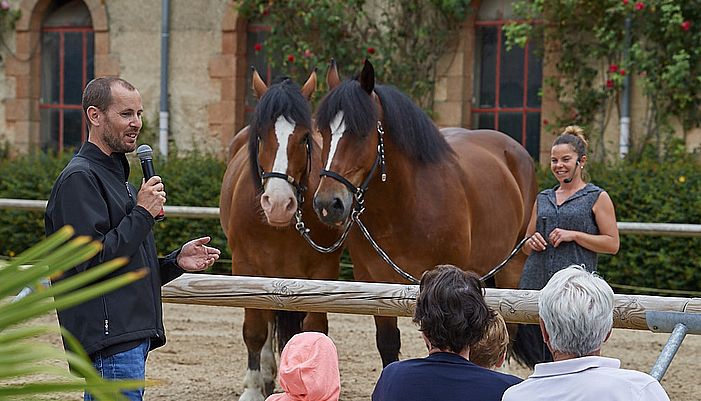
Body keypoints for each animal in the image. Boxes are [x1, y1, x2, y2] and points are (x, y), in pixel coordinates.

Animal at [217, 69, 340, 400]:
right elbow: (255, 329)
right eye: (261, 136)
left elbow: (313, 327)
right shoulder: (246, 267)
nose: (278, 204)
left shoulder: (322, 271)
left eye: (305, 137)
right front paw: (252, 388)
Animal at [310, 58, 536, 366]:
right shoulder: (374, 283)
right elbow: (388, 343)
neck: (405, 206)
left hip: (512, 268)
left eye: (362, 132)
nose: (327, 203)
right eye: (323, 132)